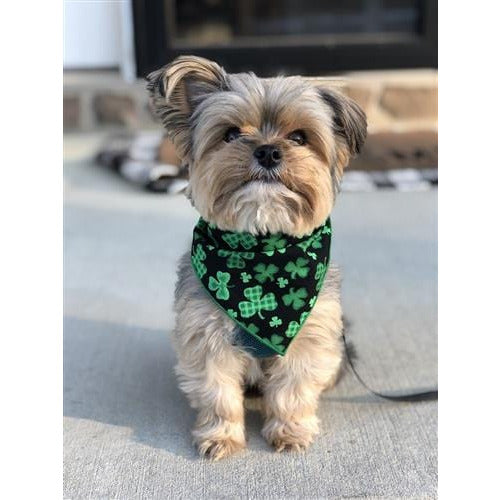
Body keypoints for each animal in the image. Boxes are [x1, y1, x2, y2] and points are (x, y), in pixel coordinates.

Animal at [146, 56, 366, 458]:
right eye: (231, 134)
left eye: (299, 137)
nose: (267, 151)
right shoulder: (207, 338)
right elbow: (218, 393)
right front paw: (221, 435)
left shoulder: (307, 337)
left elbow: (293, 390)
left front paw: (290, 431)